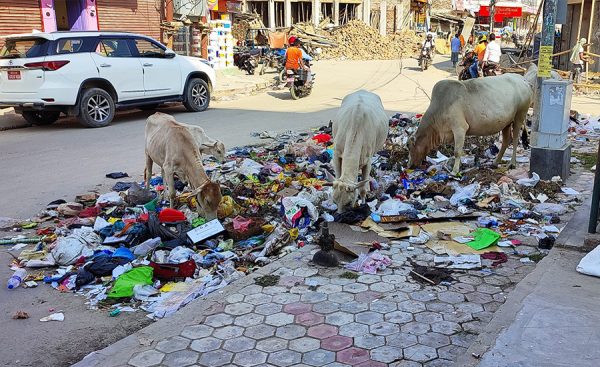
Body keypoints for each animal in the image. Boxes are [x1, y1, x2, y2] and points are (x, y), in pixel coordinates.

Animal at [408, 64, 540, 174]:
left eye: (409, 146)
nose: (409, 166)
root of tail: (523, 80)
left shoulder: (460, 128)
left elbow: (457, 152)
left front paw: (455, 171)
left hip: (520, 116)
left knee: (516, 139)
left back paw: (512, 163)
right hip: (506, 123)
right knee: (507, 141)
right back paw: (495, 162)